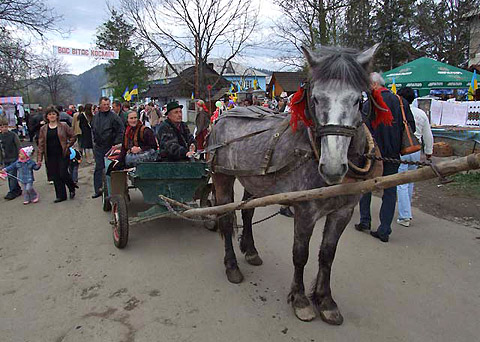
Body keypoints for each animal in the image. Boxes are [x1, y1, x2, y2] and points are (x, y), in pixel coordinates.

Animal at [210, 44, 378, 324]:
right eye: (316, 98)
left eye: (358, 100)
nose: (333, 167)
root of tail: (223, 116)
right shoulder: (305, 211)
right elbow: (301, 254)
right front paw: (300, 300)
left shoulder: (343, 212)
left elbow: (327, 255)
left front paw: (325, 300)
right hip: (222, 178)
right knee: (224, 218)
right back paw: (231, 265)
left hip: (253, 181)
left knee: (247, 213)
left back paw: (250, 250)